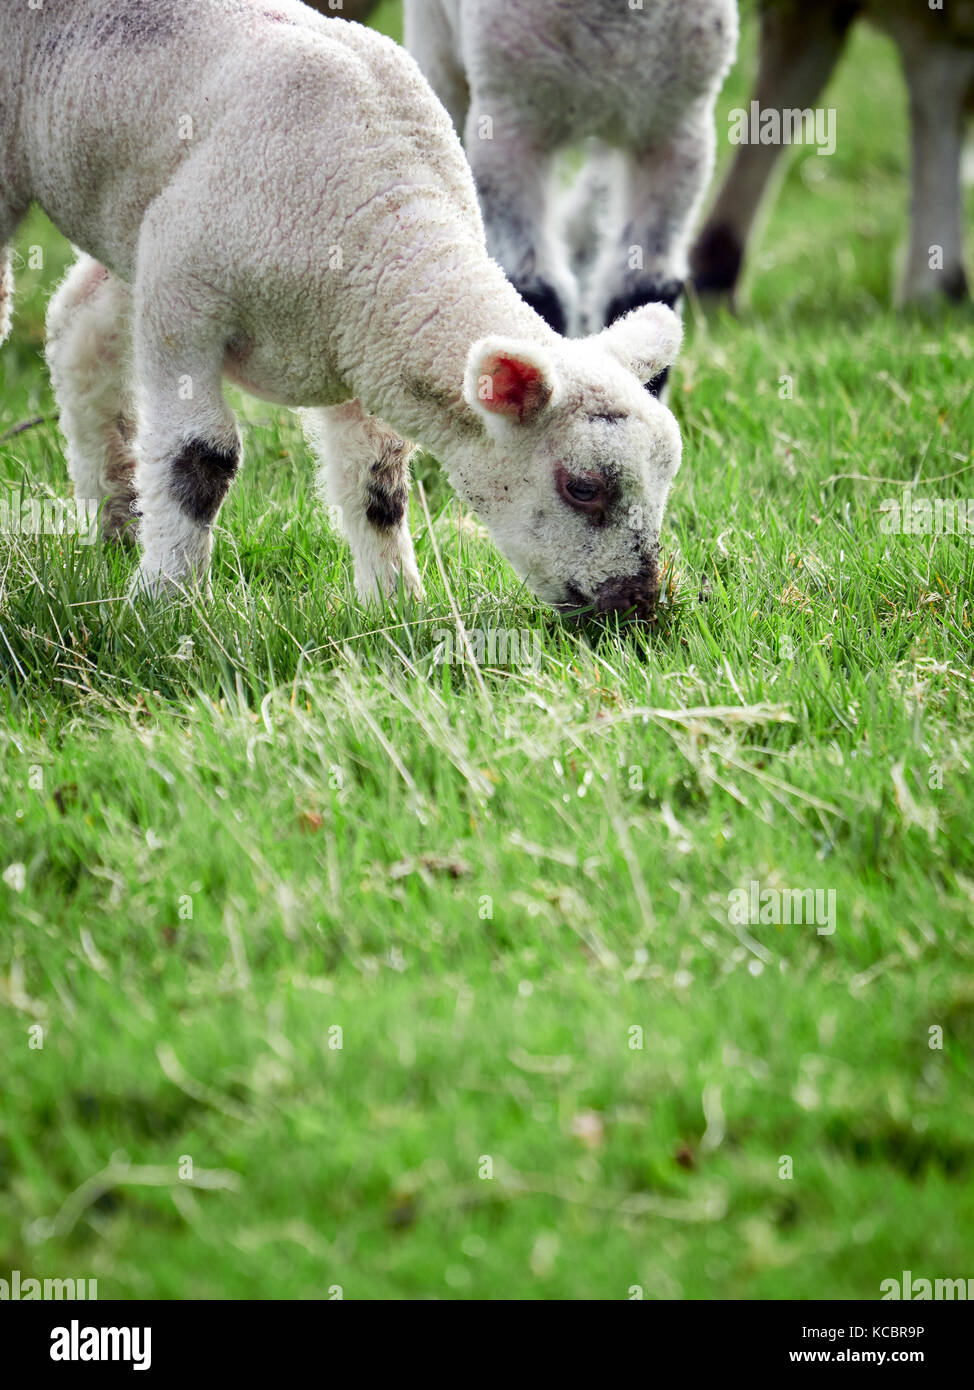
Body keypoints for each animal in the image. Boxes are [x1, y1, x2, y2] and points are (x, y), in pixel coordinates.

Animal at [2, 0, 685, 619]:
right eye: (583, 488)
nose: (638, 605)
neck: (378, 211)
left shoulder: (365, 340)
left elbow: (377, 482)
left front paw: (394, 606)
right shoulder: (185, 300)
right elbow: (198, 457)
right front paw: (165, 604)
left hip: (135, 214)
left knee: (79, 325)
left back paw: (115, 519)